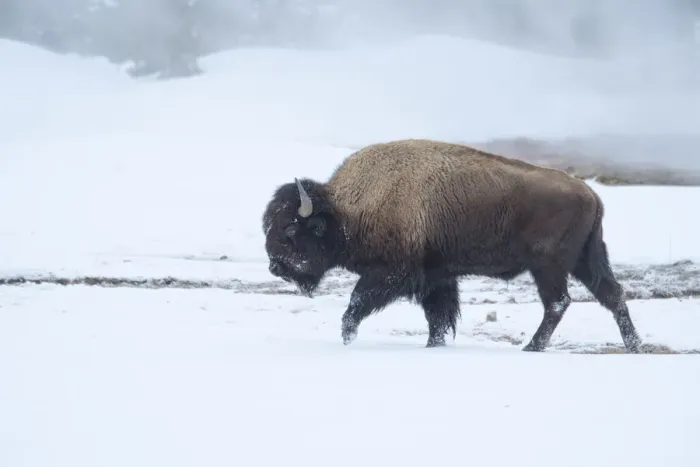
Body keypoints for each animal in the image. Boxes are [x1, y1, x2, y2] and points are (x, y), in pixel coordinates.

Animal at [262, 139, 642, 352]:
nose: (275, 266)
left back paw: (532, 348)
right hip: (585, 260)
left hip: (548, 266)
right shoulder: (437, 275)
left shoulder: (393, 274)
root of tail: (590, 193)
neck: (347, 209)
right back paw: (635, 346)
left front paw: (348, 339)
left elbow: (356, 304)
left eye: (292, 229)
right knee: (612, 295)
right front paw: (434, 346)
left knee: (558, 303)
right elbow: (439, 317)